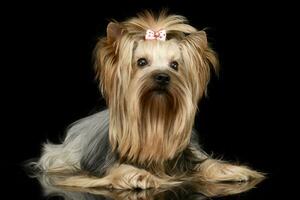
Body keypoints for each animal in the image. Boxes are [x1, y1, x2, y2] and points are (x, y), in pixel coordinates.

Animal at [32, 10, 262, 189]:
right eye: (141, 62)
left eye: (175, 65)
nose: (162, 76)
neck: (154, 115)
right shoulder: (103, 165)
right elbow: (120, 169)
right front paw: (139, 175)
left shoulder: (189, 155)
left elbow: (205, 162)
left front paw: (229, 170)